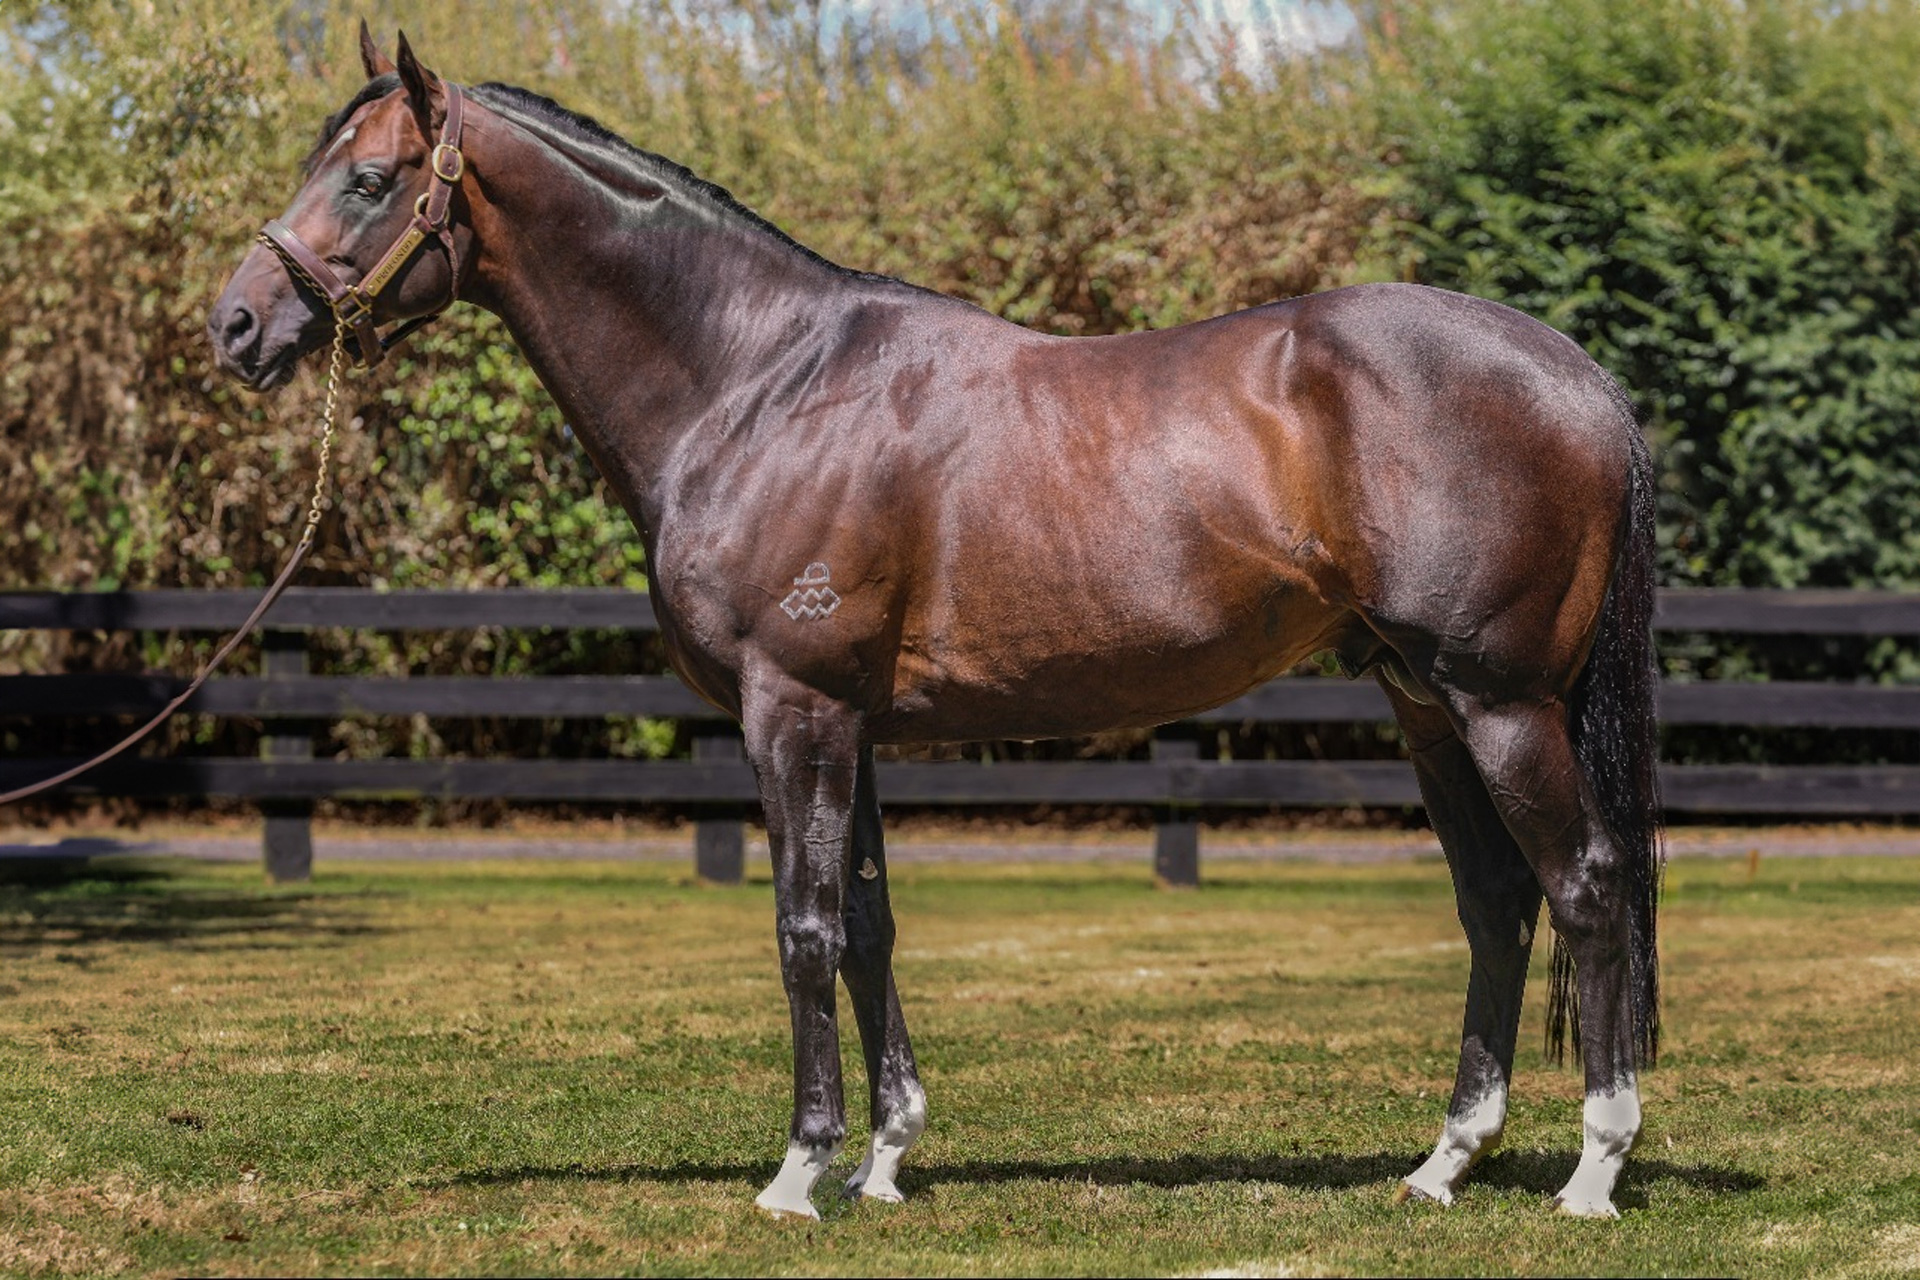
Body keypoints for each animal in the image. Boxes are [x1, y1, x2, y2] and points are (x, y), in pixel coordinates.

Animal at [208, 26, 1663, 1221]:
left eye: (369, 180)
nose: (236, 326)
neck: (758, 380)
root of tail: (1578, 377)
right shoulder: (845, 720)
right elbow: (865, 925)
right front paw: (886, 1156)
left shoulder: (792, 707)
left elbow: (800, 925)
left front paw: (799, 1173)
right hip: (1424, 704)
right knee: (1496, 904)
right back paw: (1443, 1164)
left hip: (1499, 702)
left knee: (1587, 886)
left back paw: (1595, 1168)